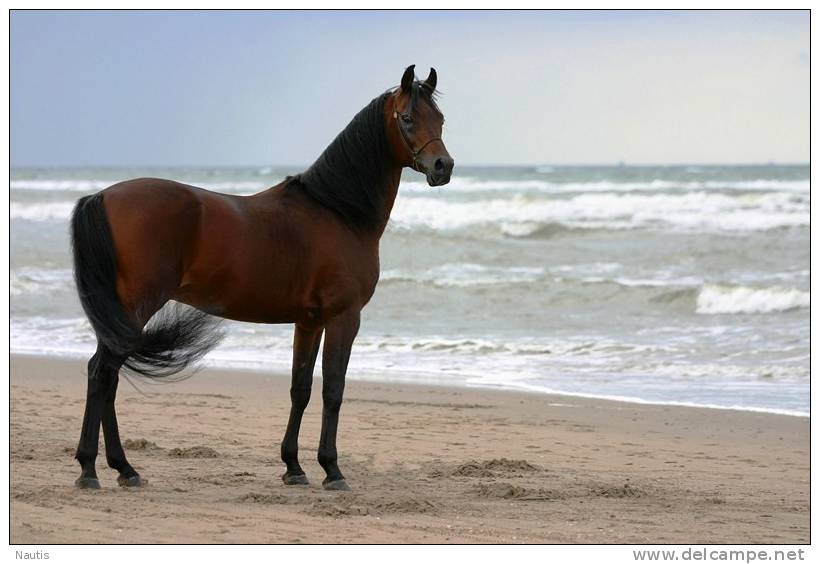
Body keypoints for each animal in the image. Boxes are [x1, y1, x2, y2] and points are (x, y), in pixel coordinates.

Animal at [70, 65, 454, 490]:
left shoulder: (309, 321)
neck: (338, 211)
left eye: (440, 119)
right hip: (137, 305)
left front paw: (294, 467)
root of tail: (102, 197)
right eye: (408, 118)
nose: (443, 166)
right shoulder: (344, 317)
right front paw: (332, 470)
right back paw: (91, 470)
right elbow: (333, 390)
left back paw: (123, 469)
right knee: (102, 373)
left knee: (107, 376)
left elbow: (300, 389)